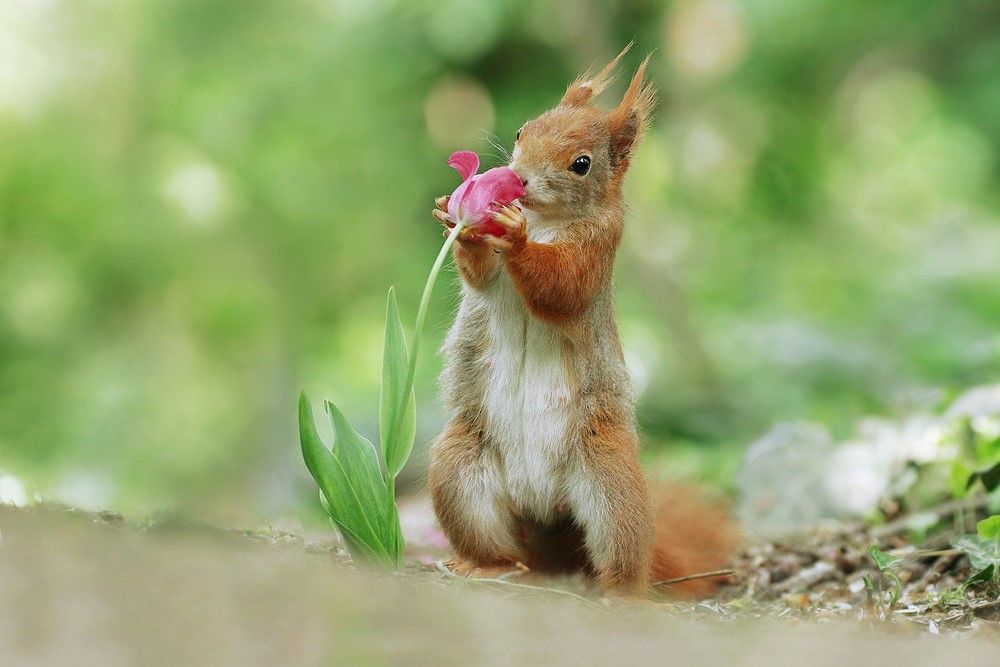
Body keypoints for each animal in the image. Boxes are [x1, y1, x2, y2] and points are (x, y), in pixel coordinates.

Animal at [427, 47, 739, 598]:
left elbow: (562, 287)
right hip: (459, 470)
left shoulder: (598, 247)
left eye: (581, 164)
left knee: (624, 547)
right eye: (523, 130)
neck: (544, 218)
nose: (519, 178)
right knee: (500, 546)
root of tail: (544, 514)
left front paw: (514, 236)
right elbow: (481, 275)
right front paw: (457, 218)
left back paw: (622, 591)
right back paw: (488, 566)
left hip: (610, 479)